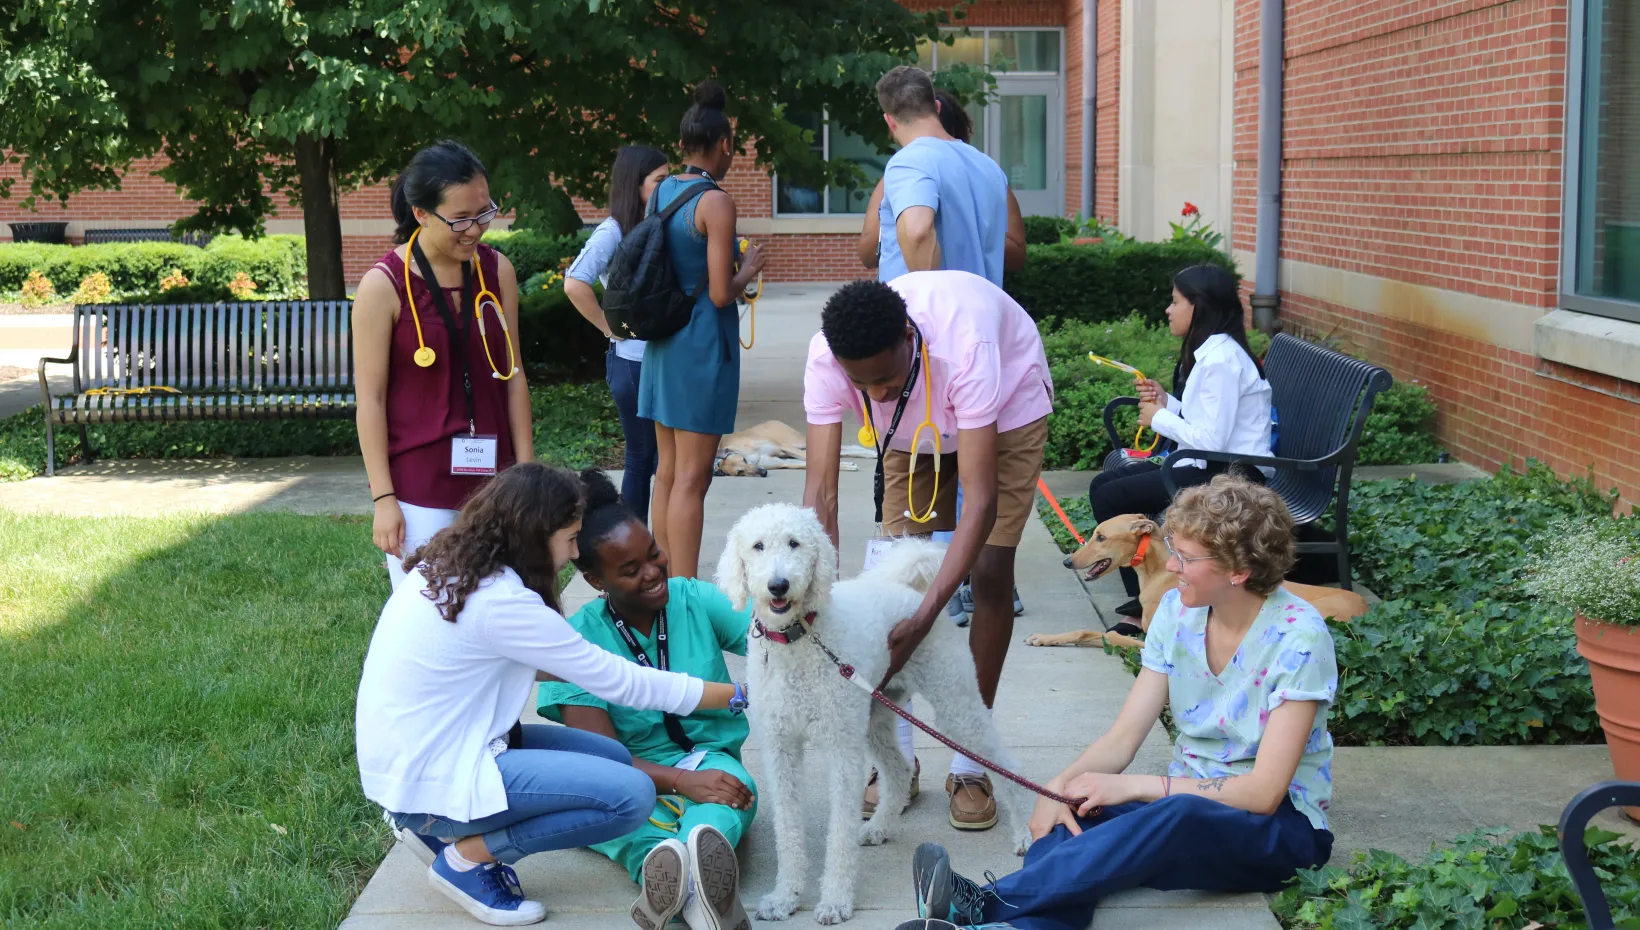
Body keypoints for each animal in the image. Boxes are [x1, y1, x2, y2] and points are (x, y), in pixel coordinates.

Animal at [711, 423, 879, 478]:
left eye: (744, 460)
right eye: (740, 472)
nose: (764, 472)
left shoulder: (783, 446)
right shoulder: (781, 461)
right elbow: (802, 464)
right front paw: (848, 465)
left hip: (794, 442)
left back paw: (871, 453)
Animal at [1023, 511, 1371, 652]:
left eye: (1101, 537)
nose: (1067, 562)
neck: (1157, 573)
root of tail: (1366, 606)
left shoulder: (1149, 642)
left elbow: (1113, 637)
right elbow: (1089, 631)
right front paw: (1043, 638)